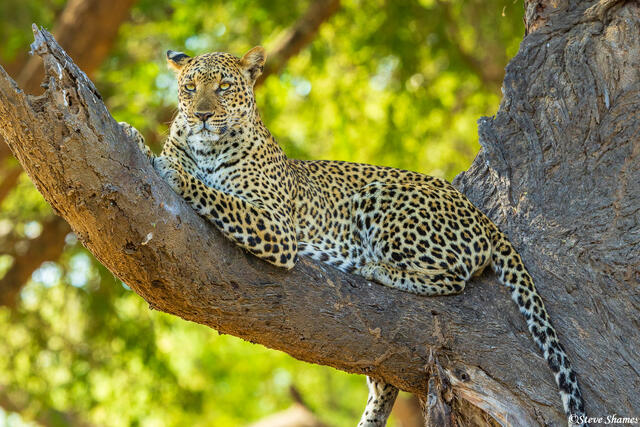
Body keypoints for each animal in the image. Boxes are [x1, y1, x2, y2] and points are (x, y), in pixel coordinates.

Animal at [119, 46, 588, 427]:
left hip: (382, 195)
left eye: (223, 87)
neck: (206, 148)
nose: (200, 115)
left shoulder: (276, 226)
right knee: (384, 384)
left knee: (452, 277)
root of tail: (483, 216)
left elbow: (215, 195)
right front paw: (135, 138)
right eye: (189, 87)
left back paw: (375, 268)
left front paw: (171, 169)